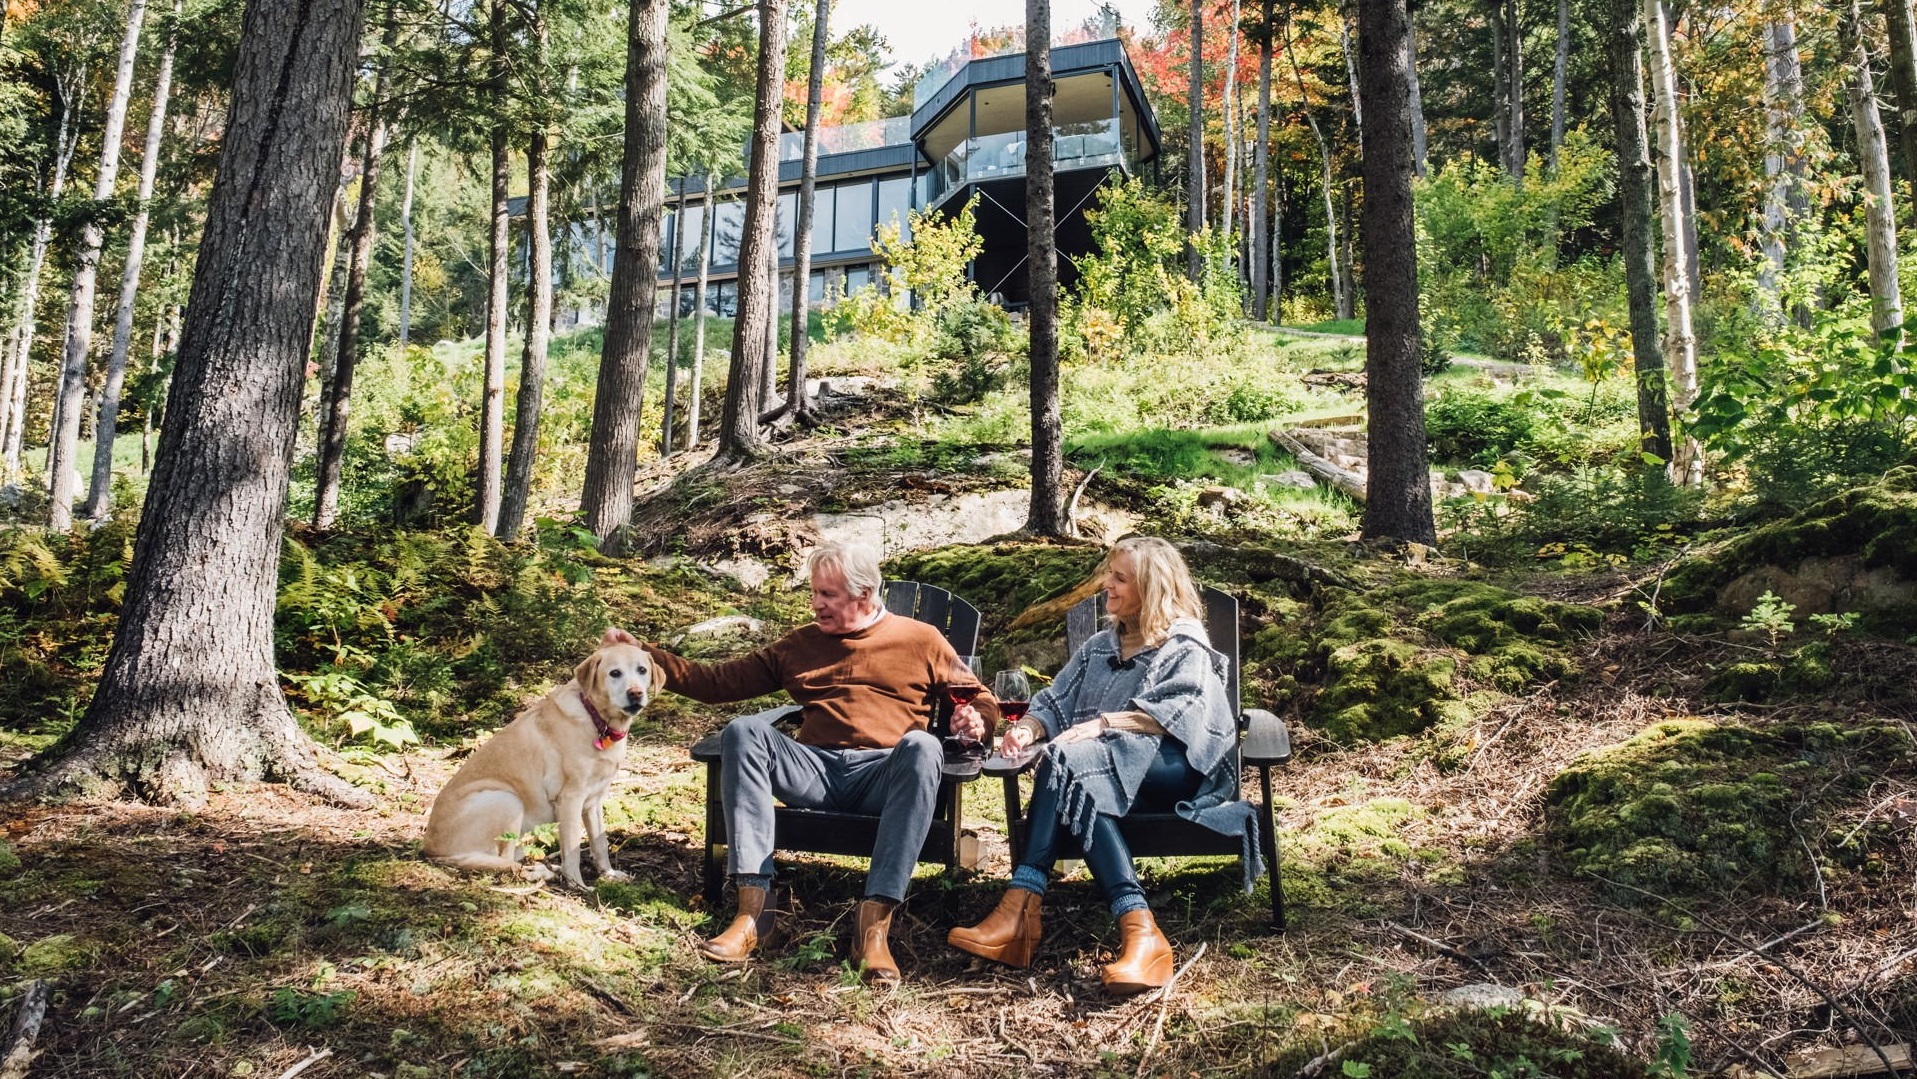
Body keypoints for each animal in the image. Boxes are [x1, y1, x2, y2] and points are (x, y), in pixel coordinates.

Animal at [425, 624, 651, 885]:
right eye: (615, 673)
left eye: (642, 670)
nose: (635, 693)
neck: (597, 720)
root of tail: (431, 850)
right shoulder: (571, 799)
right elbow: (572, 849)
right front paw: (578, 885)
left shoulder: (594, 801)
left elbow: (600, 843)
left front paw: (608, 874)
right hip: (507, 800)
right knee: (505, 862)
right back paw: (539, 872)